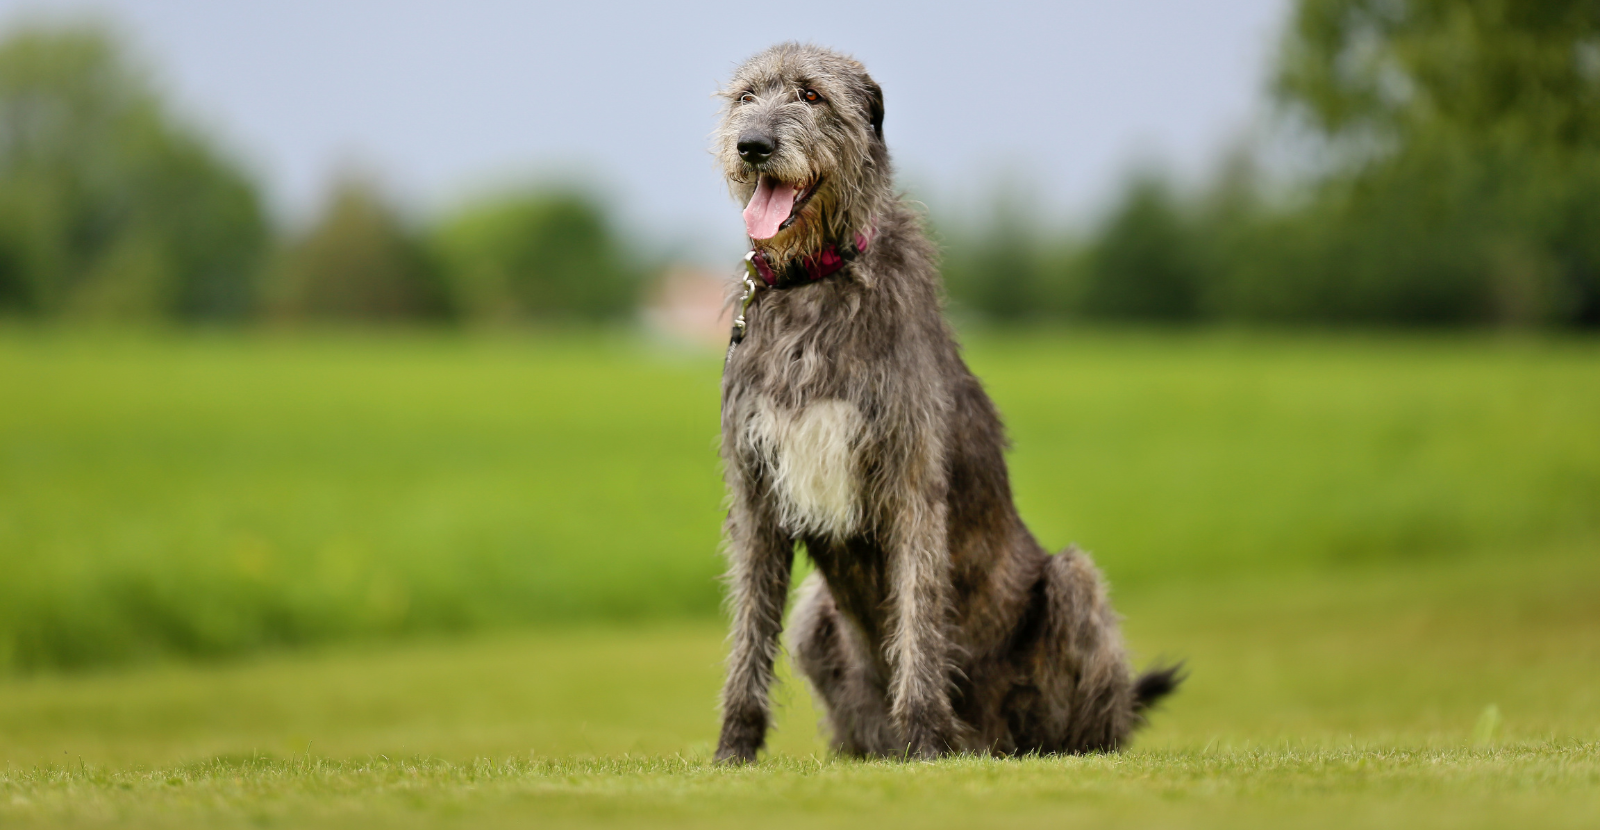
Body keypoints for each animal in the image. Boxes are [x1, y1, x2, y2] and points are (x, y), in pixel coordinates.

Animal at [713, 42, 1177, 764]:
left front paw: (926, 737)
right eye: (745, 97)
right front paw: (733, 749)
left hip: (1072, 585)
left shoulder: (910, 482)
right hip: (816, 615)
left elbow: (919, 615)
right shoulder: (756, 488)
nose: (752, 145)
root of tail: (992, 738)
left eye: (812, 95)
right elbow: (748, 630)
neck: (815, 282)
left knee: (1090, 704)